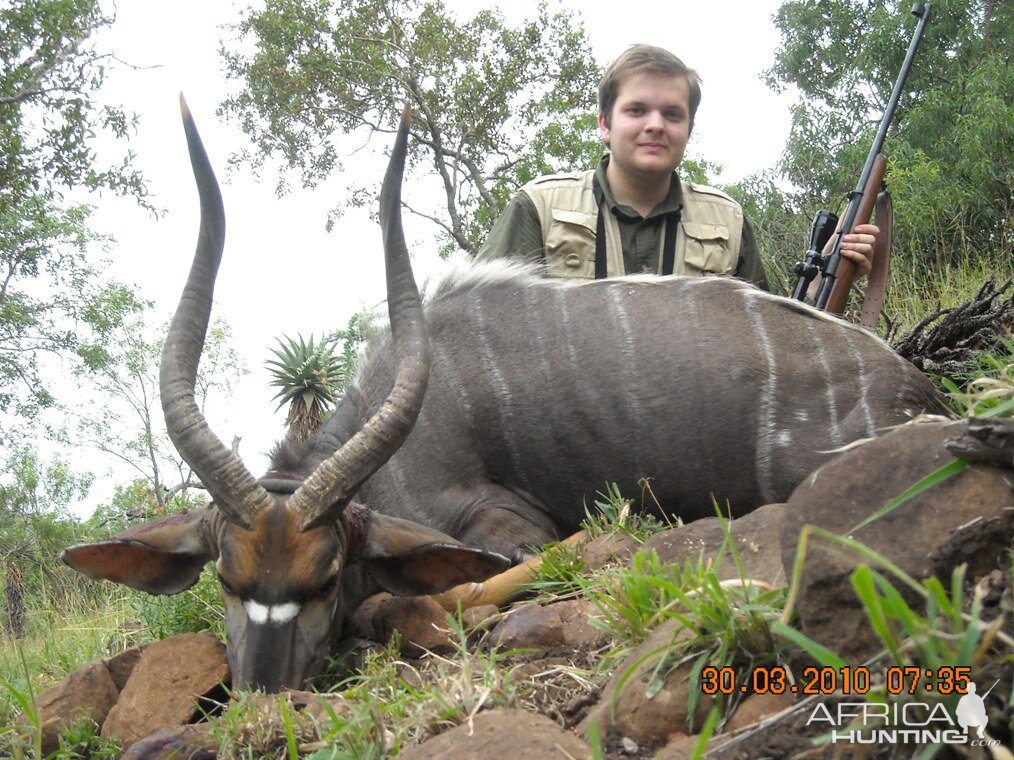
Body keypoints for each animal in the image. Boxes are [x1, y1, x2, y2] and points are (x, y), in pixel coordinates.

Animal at [65, 99, 940, 689]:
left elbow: (452, 590)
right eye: (225, 579)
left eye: (322, 581)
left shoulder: (505, 525)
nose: (263, 699)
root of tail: (910, 386)